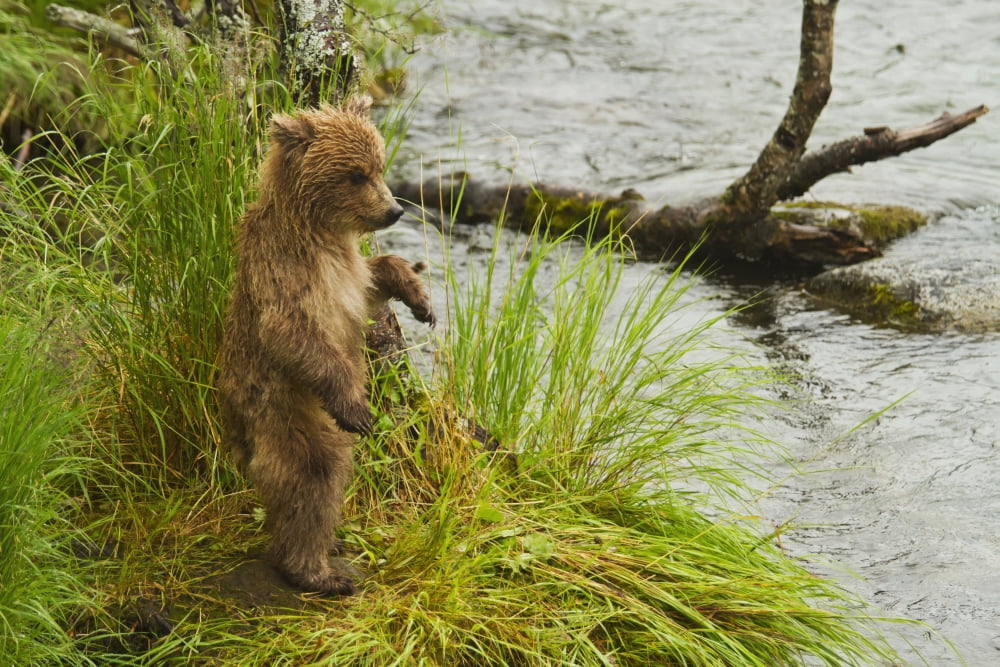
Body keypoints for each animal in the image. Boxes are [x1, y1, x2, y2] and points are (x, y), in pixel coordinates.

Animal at [216, 96, 435, 596]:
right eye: (355, 174)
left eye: (378, 166)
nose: (394, 211)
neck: (317, 227)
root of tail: (236, 429)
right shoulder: (288, 268)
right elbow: (293, 332)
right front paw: (357, 407)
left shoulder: (347, 268)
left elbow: (373, 281)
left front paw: (420, 298)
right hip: (283, 410)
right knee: (313, 475)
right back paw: (317, 571)